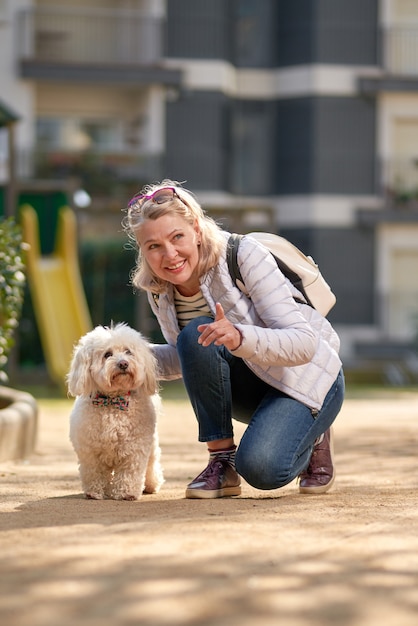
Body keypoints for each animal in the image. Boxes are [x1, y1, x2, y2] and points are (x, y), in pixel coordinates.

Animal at [67, 322, 163, 498]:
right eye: (107, 354)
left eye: (128, 351)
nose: (123, 363)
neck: (113, 401)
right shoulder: (90, 451)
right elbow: (94, 472)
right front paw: (94, 492)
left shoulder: (134, 448)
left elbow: (129, 472)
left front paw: (126, 493)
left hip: (152, 447)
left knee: (152, 464)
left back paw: (152, 484)